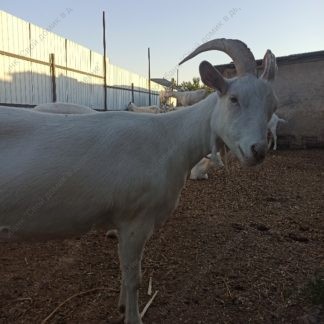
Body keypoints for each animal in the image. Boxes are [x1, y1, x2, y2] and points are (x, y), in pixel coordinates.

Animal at [0, 38, 278, 324]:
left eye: (273, 106)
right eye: (234, 99)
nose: (258, 150)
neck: (170, 139)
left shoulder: (123, 222)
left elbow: (125, 271)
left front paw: (122, 307)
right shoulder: (137, 219)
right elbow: (134, 276)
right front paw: (133, 317)